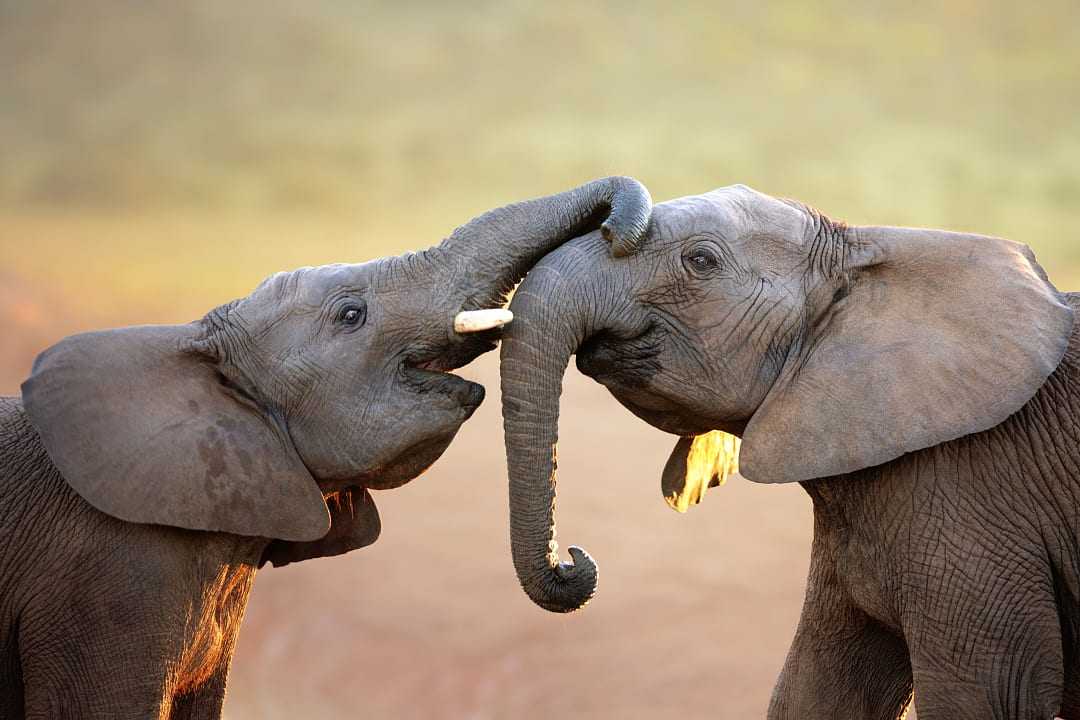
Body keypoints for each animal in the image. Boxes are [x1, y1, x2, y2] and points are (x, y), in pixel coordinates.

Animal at [496, 184, 1080, 720]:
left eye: (700, 261)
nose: (574, 560)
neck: (866, 256)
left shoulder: (974, 494)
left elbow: (988, 694)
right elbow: (819, 689)